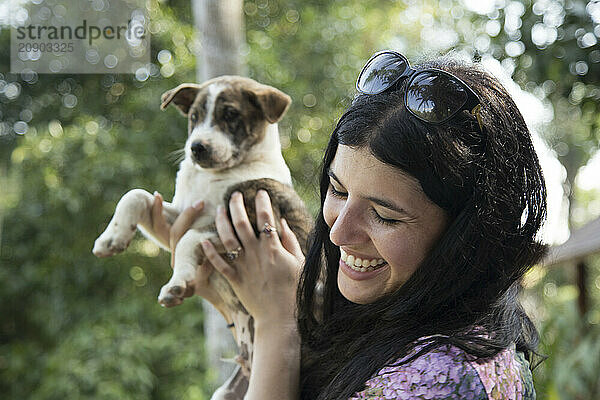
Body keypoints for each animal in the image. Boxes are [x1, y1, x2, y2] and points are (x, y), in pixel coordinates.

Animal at [92, 76, 314, 400]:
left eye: (231, 115)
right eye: (194, 117)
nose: (196, 148)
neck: (213, 176)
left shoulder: (240, 222)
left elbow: (188, 240)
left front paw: (177, 284)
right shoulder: (180, 215)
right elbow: (136, 196)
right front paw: (112, 238)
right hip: (227, 391)